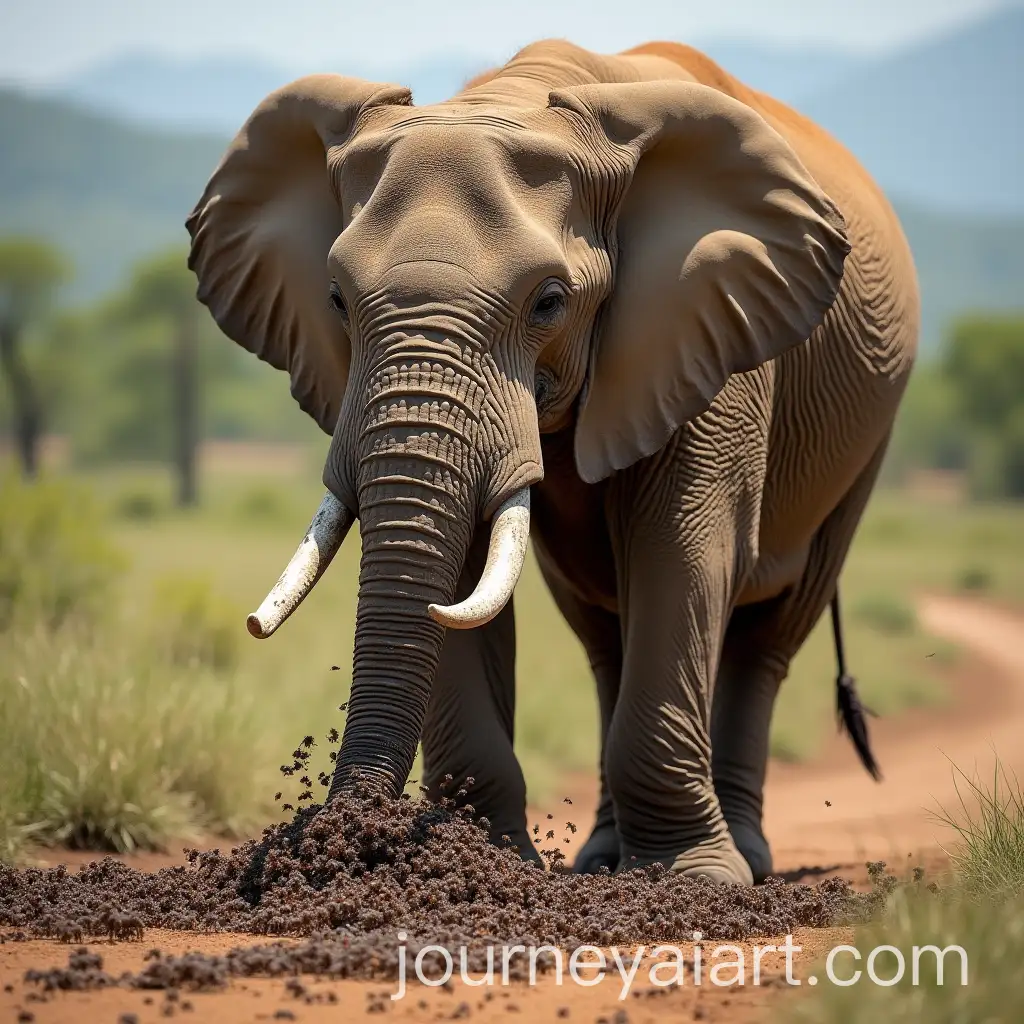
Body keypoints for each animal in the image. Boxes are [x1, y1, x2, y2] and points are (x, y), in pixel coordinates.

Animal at [186, 38, 918, 886]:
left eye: (549, 302)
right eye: (335, 298)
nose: (343, 835)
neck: (519, 97)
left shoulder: (710, 330)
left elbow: (681, 549)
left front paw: (694, 880)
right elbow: (465, 565)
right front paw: (480, 860)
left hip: (869, 435)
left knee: (770, 631)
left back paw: (746, 858)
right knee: (604, 634)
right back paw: (602, 858)